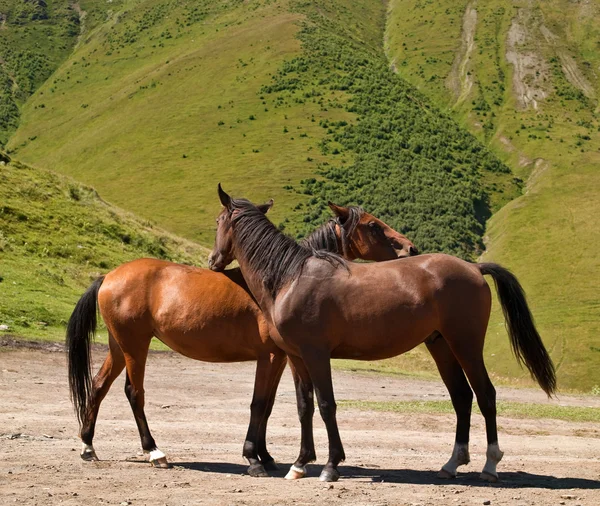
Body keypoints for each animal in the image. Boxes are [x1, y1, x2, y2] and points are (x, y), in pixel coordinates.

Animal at [64, 201, 412, 474]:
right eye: (373, 225)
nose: (409, 248)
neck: (283, 278)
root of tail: (109, 276)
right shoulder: (272, 356)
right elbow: (258, 404)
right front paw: (254, 458)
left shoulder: (280, 357)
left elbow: (267, 405)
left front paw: (266, 455)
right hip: (136, 346)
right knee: (134, 393)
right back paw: (154, 452)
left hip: (119, 346)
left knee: (98, 386)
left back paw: (88, 447)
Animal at [209, 186, 556, 482]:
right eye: (373, 225)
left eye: (218, 221)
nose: (213, 261)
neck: (293, 278)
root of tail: (474, 267)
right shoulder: (296, 357)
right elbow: (304, 406)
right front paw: (300, 463)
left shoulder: (316, 355)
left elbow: (326, 405)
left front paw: (331, 466)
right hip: (441, 346)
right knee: (462, 397)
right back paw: (451, 464)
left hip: (466, 345)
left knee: (486, 395)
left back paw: (490, 466)